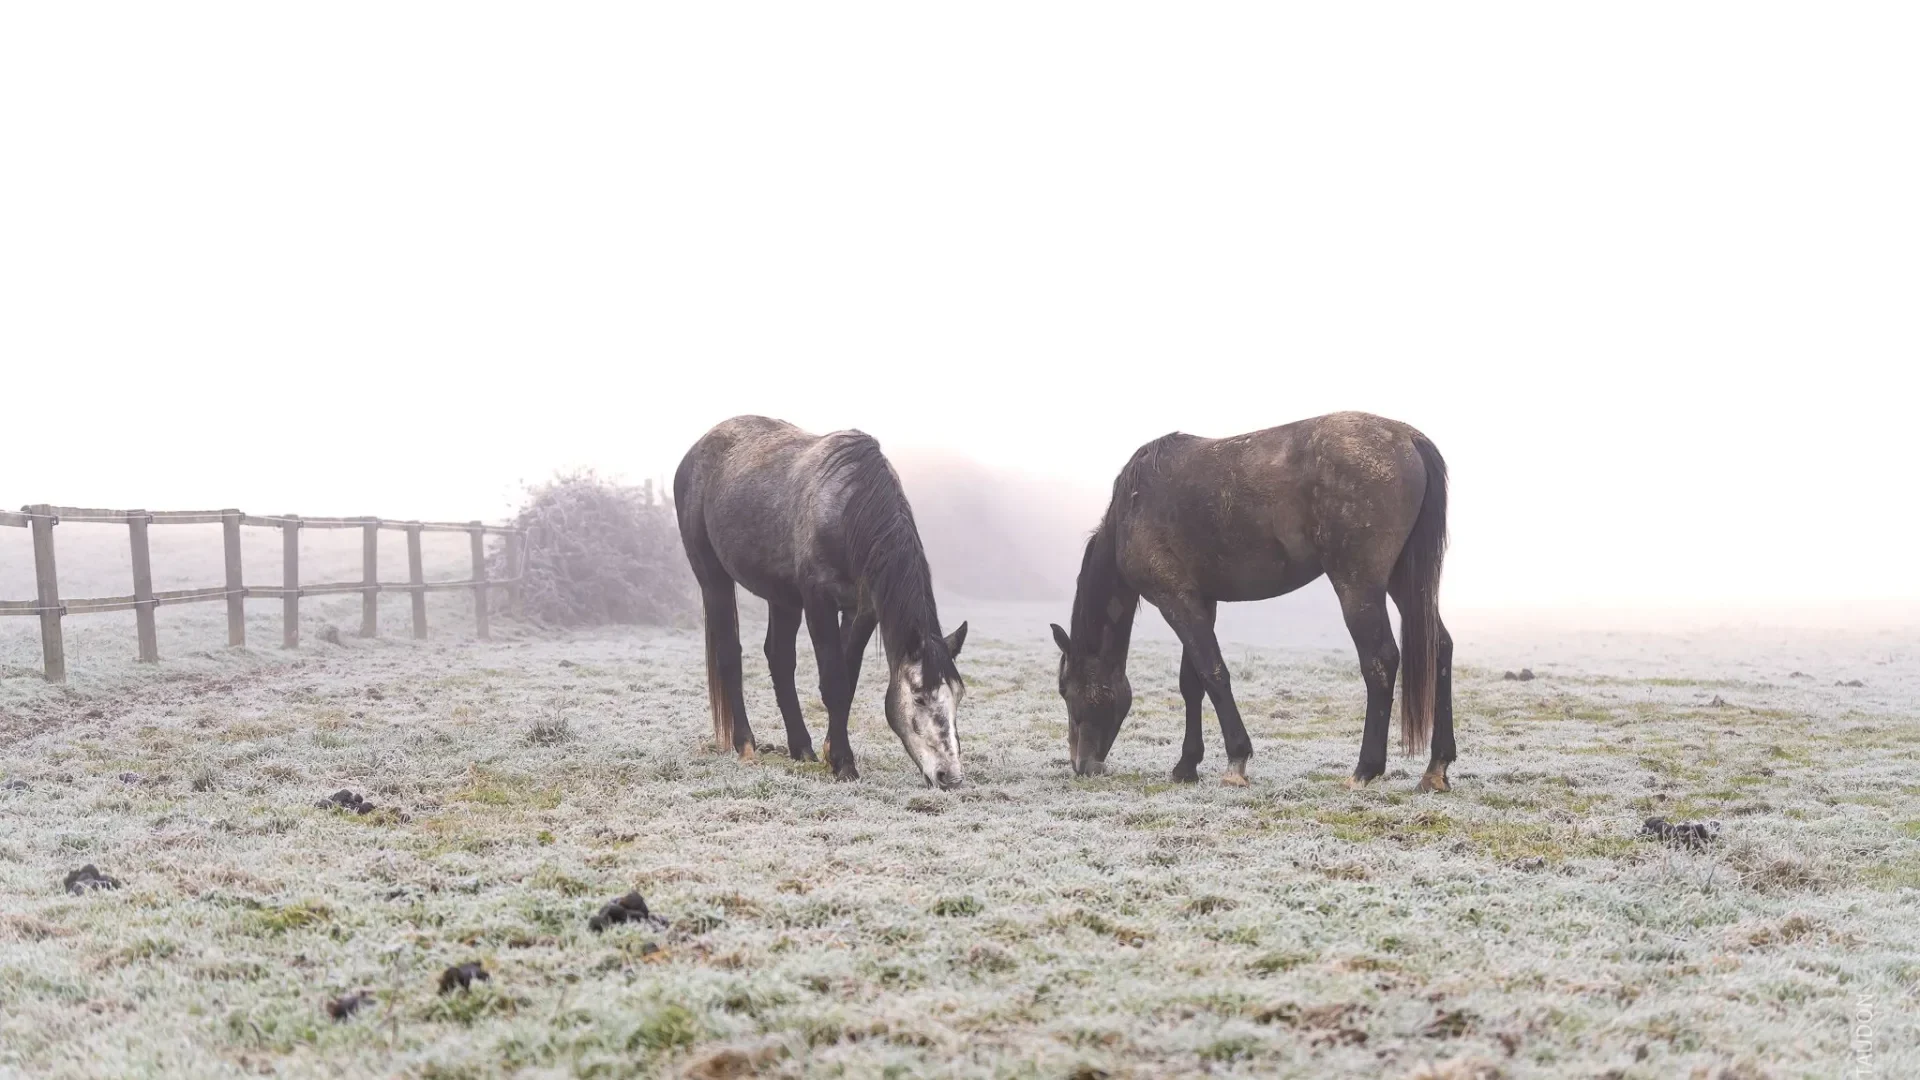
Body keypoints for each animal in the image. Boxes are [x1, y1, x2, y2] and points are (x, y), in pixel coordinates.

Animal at [679, 411, 975, 780]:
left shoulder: (862, 611)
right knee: (730, 656)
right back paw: (746, 746)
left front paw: (831, 752)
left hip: (782, 597)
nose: (951, 776)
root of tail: (694, 452)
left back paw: (801, 749)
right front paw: (844, 764)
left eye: (958, 696)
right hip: (713, 578)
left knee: (779, 658)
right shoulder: (818, 603)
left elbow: (847, 682)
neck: (847, 511)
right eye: (919, 697)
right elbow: (833, 681)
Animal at [1052, 411, 1451, 791]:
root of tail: (1408, 438)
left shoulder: (1175, 601)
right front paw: (1186, 765)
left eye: (1064, 689)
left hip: (1358, 586)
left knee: (1379, 661)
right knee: (1440, 646)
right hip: (1403, 583)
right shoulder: (1200, 601)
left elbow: (1213, 674)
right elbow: (1191, 682)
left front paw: (1236, 762)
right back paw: (1437, 767)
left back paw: (1365, 770)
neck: (1131, 508)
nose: (1082, 765)